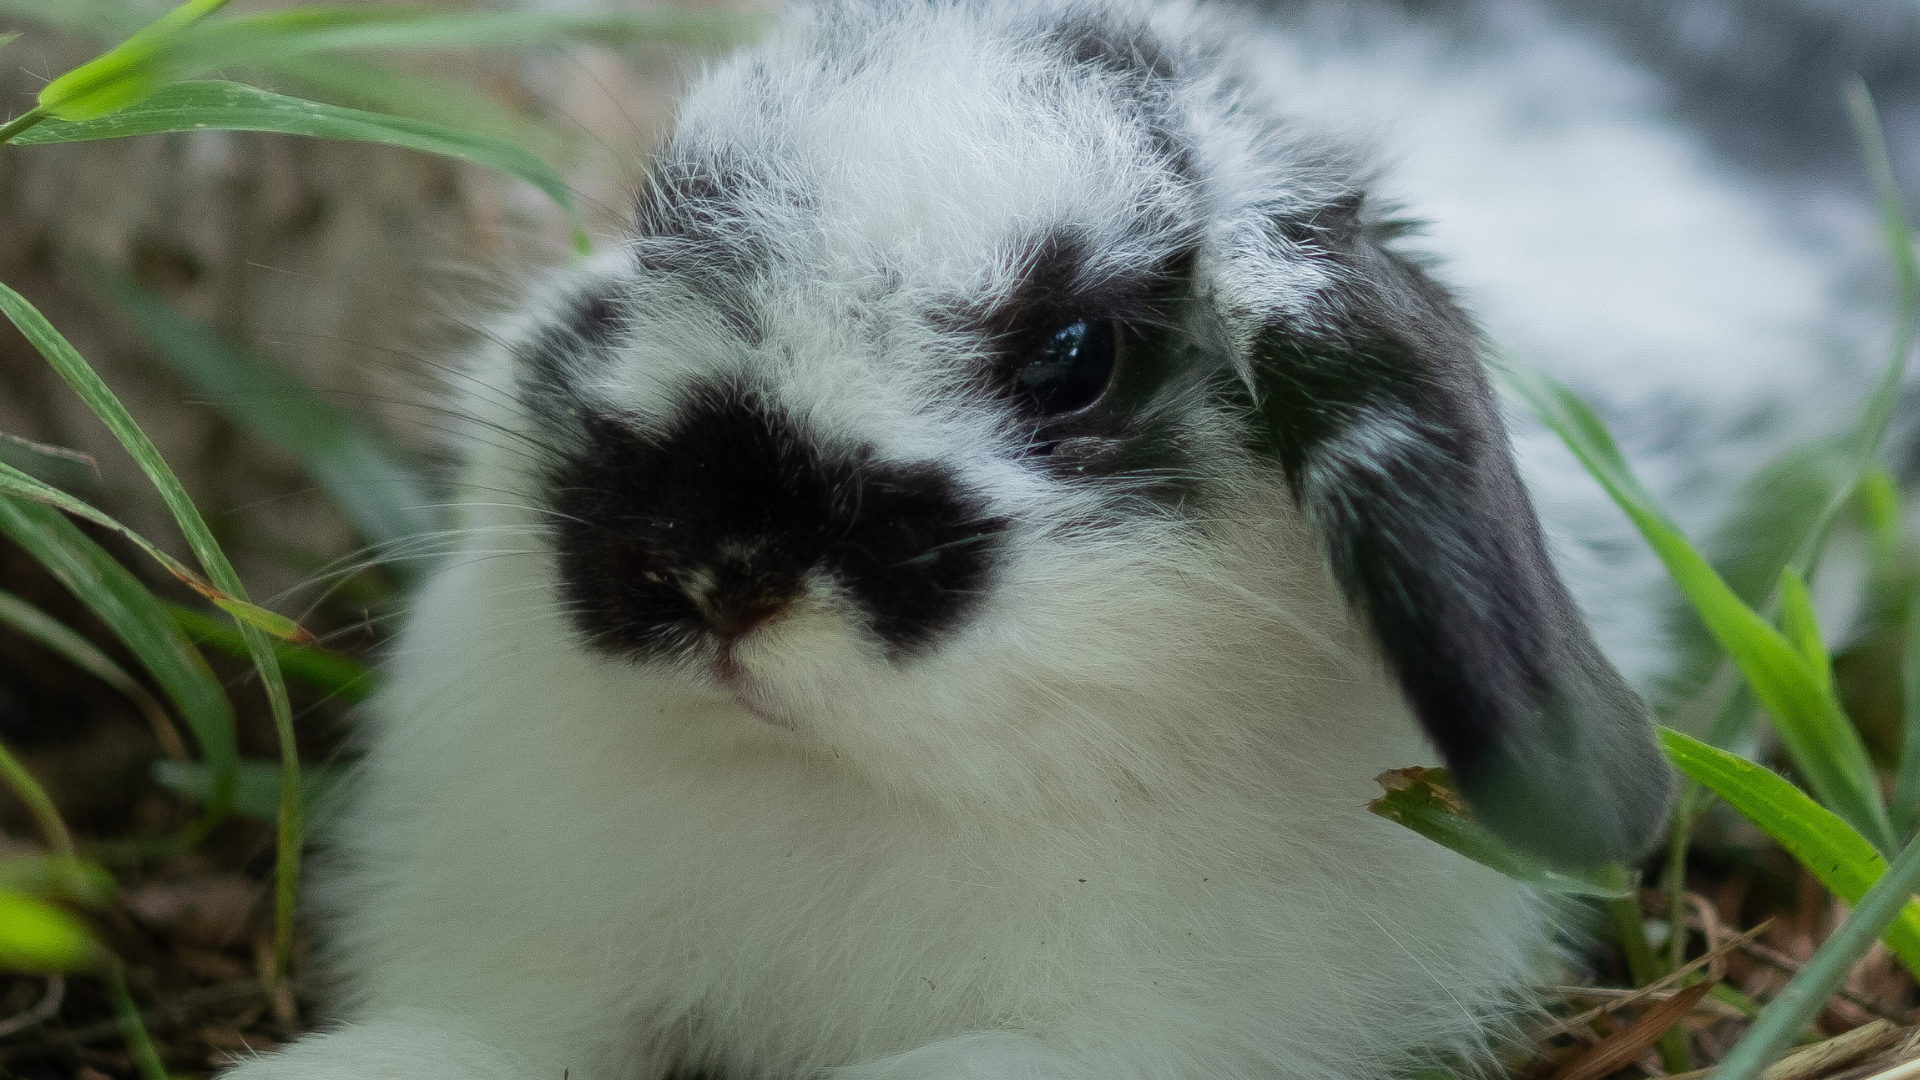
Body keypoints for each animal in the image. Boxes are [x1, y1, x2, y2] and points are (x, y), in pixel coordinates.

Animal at [223, 0, 1912, 1077]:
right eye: (653, 232)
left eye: (1074, 358)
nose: (708, 569)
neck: (842, 782)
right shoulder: (524, 971)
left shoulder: (1119, 1040)